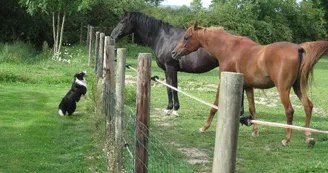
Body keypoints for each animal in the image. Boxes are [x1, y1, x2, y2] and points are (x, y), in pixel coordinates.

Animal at [170, 21, 328, 147]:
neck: (229, 49)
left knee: (290, 111)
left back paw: (286, 140)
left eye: (186, 37)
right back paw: (308, 136)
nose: (173, 53)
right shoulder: (248, 87)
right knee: (308, 106)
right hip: (298, 88)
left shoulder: (223, 83)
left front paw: (204, 127)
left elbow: (214, 106)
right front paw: (255, 131)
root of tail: (298, 49)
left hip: (283, 89)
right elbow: (252, 109)